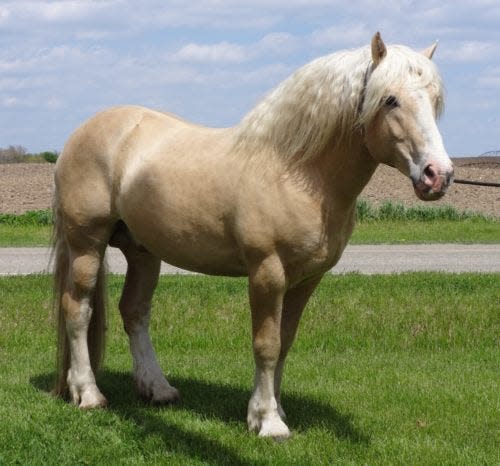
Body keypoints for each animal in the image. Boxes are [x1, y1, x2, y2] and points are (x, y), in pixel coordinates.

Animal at [50, 31, 454, 436]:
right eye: (390, 99)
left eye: (435, 100)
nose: (438, 175)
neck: (294, 172)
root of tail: (81, 134)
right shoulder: (267, 272)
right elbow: (267, 344)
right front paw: (267, 421)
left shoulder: (306, 279)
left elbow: (285, 342)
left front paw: (275, 409)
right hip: (87, 242)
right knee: (77, 309)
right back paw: (88, 393)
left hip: (143, 252)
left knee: (135, 312)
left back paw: (158, 389)